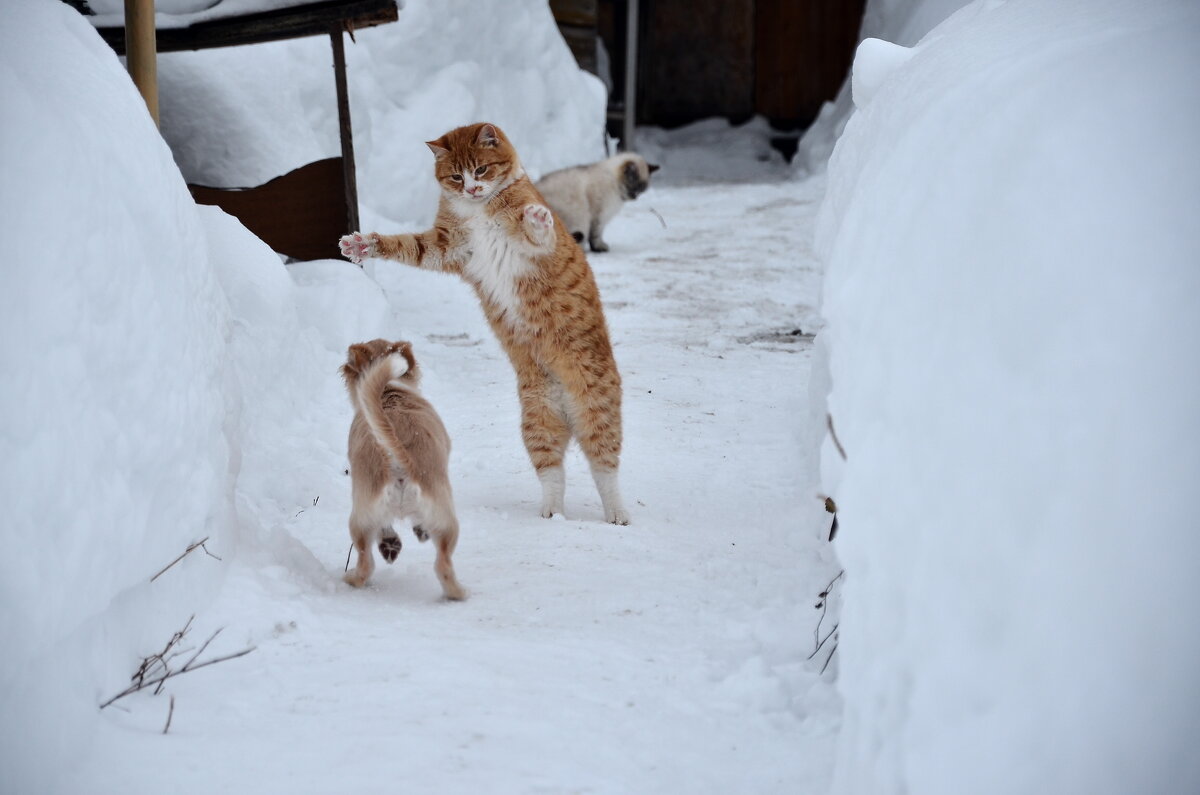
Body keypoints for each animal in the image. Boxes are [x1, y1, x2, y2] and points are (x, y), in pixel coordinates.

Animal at [343, 121, 633, 525]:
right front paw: (363, 245)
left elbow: (539, 233)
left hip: (597, 408)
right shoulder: (446, 246)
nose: (471, 188)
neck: (480, 208)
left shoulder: (538, 246)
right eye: (456, 176)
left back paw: (617, 513)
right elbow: (407, 245)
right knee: (552, 472)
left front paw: (537, 218)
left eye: (480, 170)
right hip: (537, 420)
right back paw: (551, 512)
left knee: (604, 467)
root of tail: (567, 408)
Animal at [343, 338, 468, 600]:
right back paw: (459, 592)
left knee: (367, 559)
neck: (389, 389)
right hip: (446, 519)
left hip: (362, 516)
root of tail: (398, 464)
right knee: (441, 564)